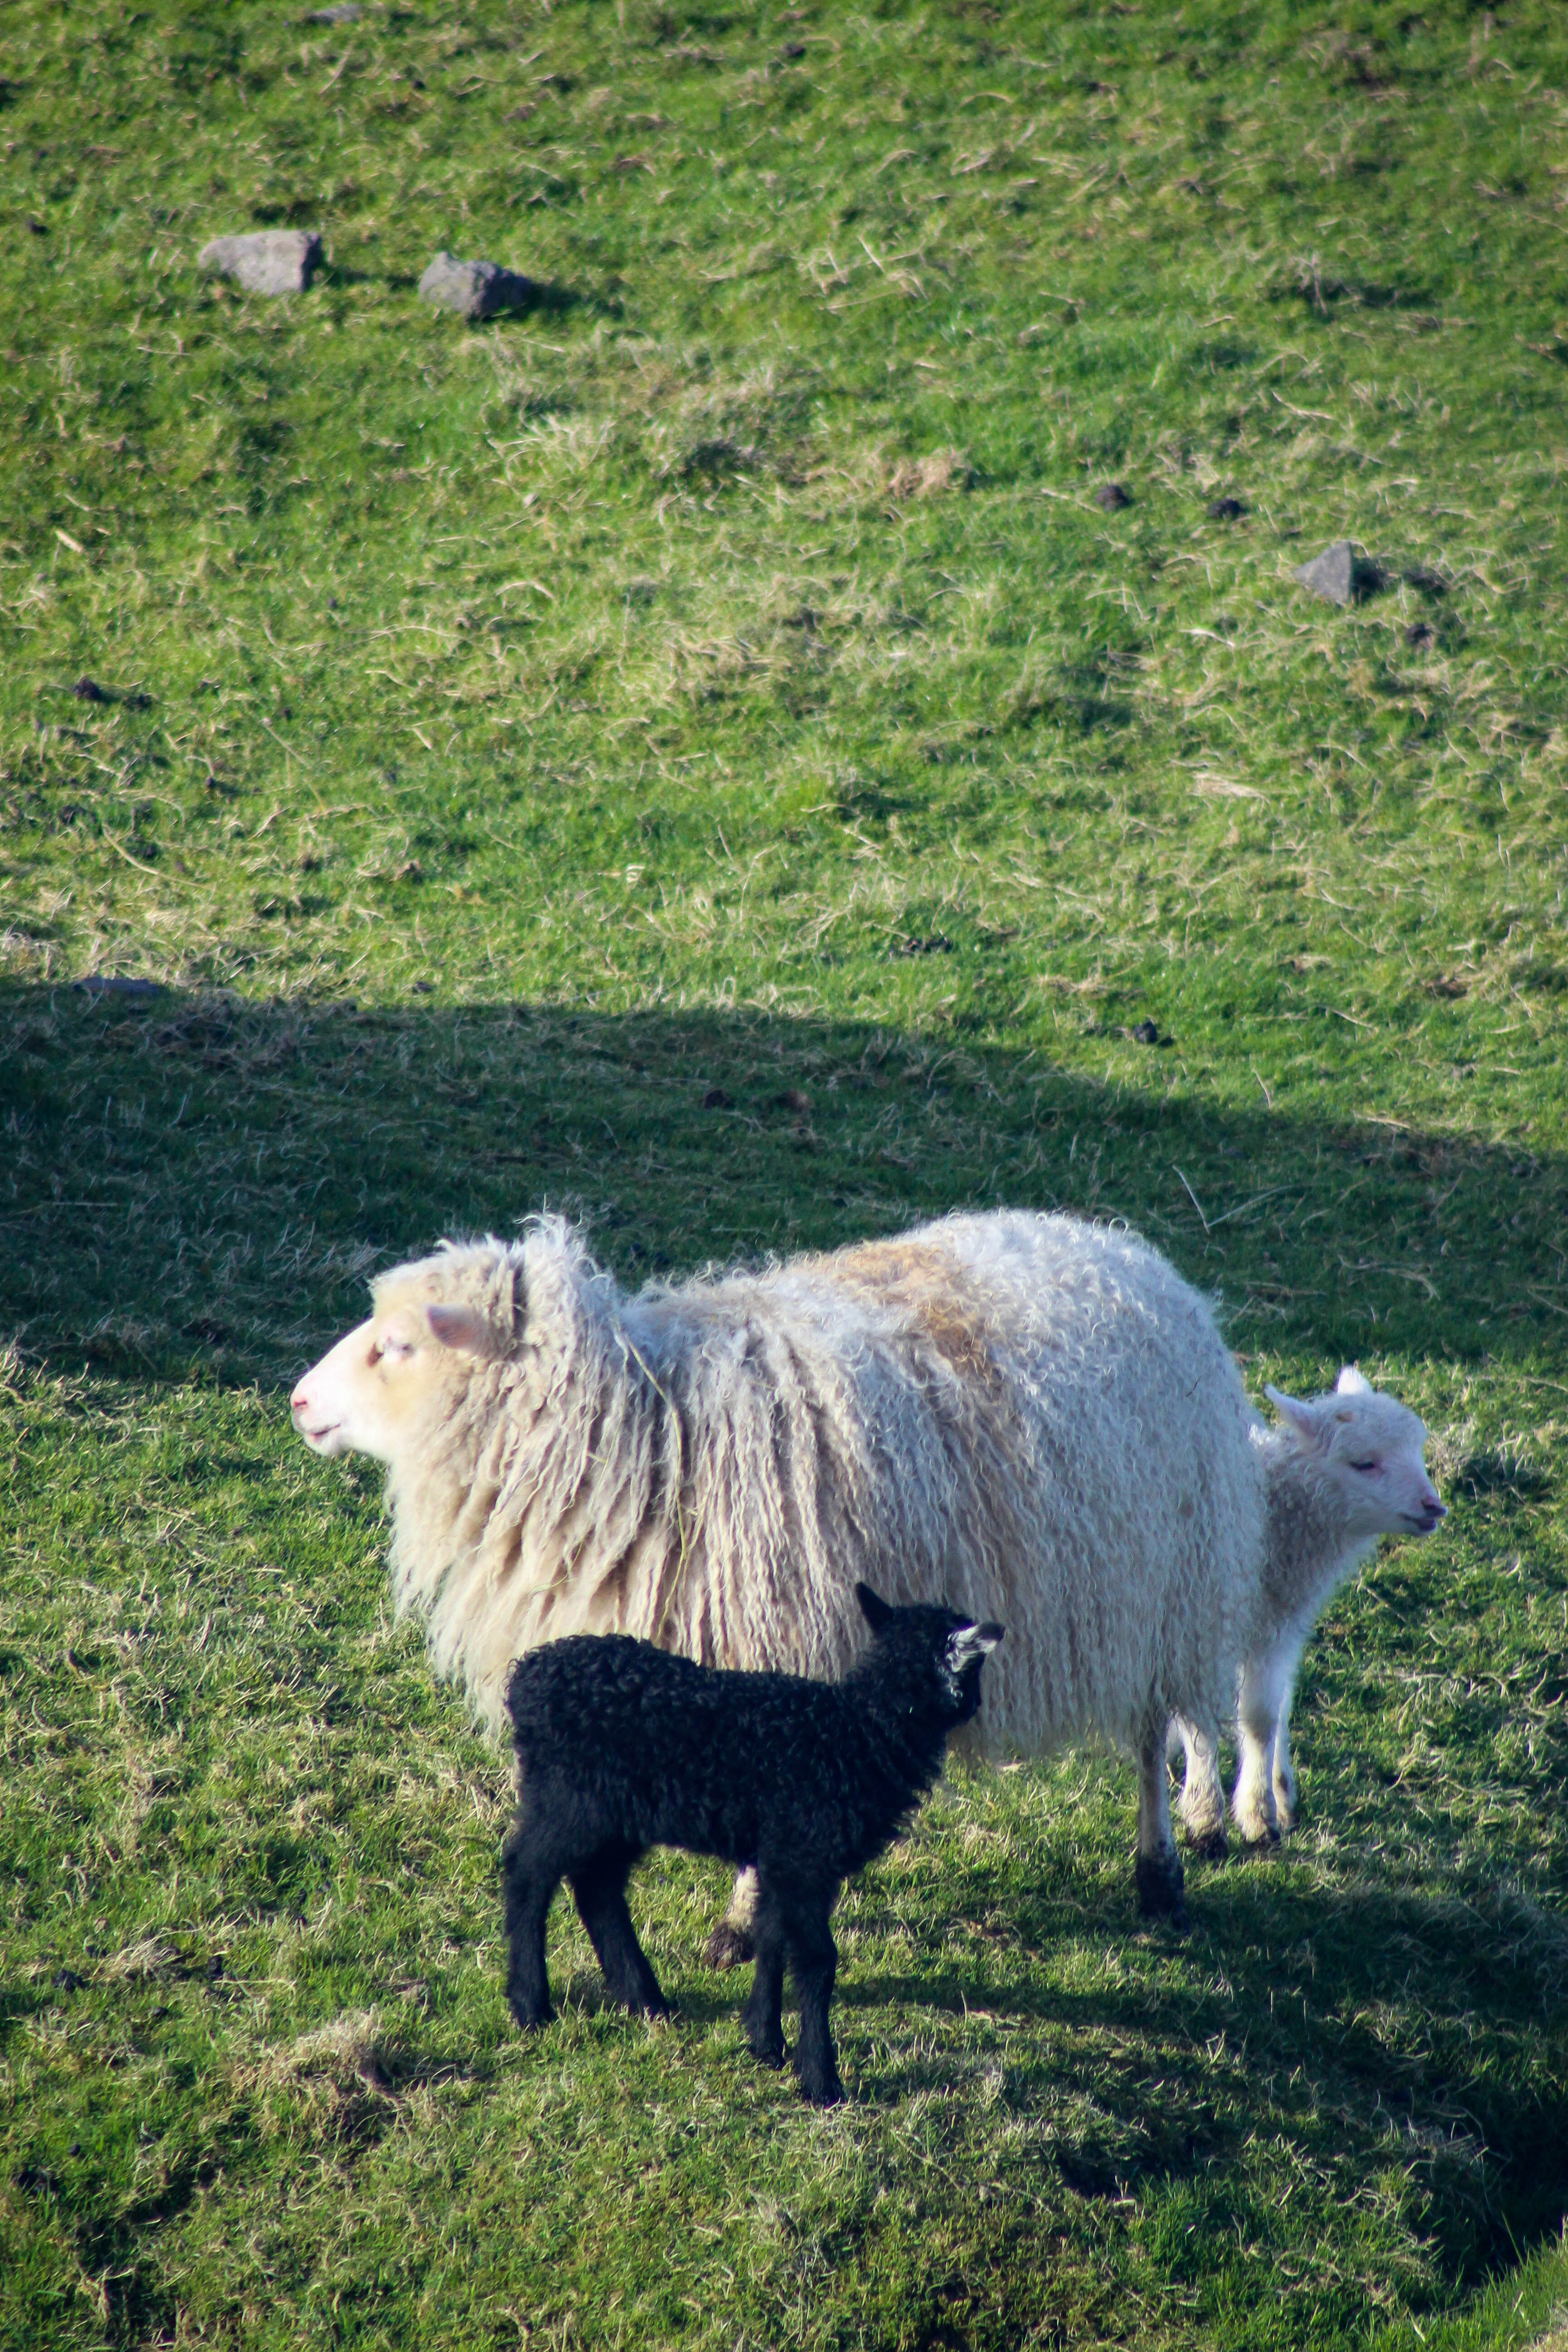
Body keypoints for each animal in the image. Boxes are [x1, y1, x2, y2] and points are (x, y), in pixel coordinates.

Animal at [294, 1204, 1269, 1938]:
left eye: (398, 1346)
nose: (300, 1401)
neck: (645, 1434)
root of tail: (1130, 1254)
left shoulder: (781, 1644)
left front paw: (738, 1926)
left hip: (1165, 1585)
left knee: (1153, 1733)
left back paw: (1162, 1865)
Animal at [503, 1590, 1006, 2107]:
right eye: (975, 1673)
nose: (976, 1706)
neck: (855, 1736)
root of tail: (527, 1677)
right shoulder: (804, 1856)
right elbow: (817, 1959)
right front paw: (821, 2079)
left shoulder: (783, 1857)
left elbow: (771, 1937)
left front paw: (766, 2043)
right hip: (569, 1797)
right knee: (528, 1874)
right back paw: (531, 2005)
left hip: (616, 1814)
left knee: (596, 1887)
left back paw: (647, 2002)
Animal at [1175, 1364, 1448, 1853]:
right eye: (1363, 1463)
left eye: (1416, 1450)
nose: (1433, 1507)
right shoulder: (1195, 1622)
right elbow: (1200, 1721)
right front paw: (1206, 1816)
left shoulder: (1278, 1626)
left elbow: (1264, 1717)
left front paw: (1265, 1807)